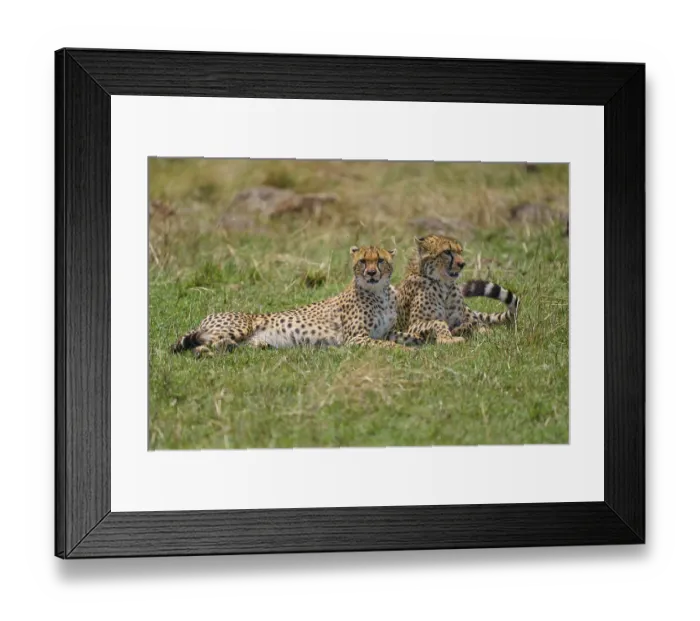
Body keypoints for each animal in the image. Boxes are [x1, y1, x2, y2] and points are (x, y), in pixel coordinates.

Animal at [172, 245, 422, 356]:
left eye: (380, 260)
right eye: (363, 261)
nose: (371, 273)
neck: (380, 292)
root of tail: (207, 317)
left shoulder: (384, 331)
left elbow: (403, 337)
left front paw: (420, 340)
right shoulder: (357, 338)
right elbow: (388, 345)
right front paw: (407, 351)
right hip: (239, 327)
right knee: (203, 345)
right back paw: (207, 352)